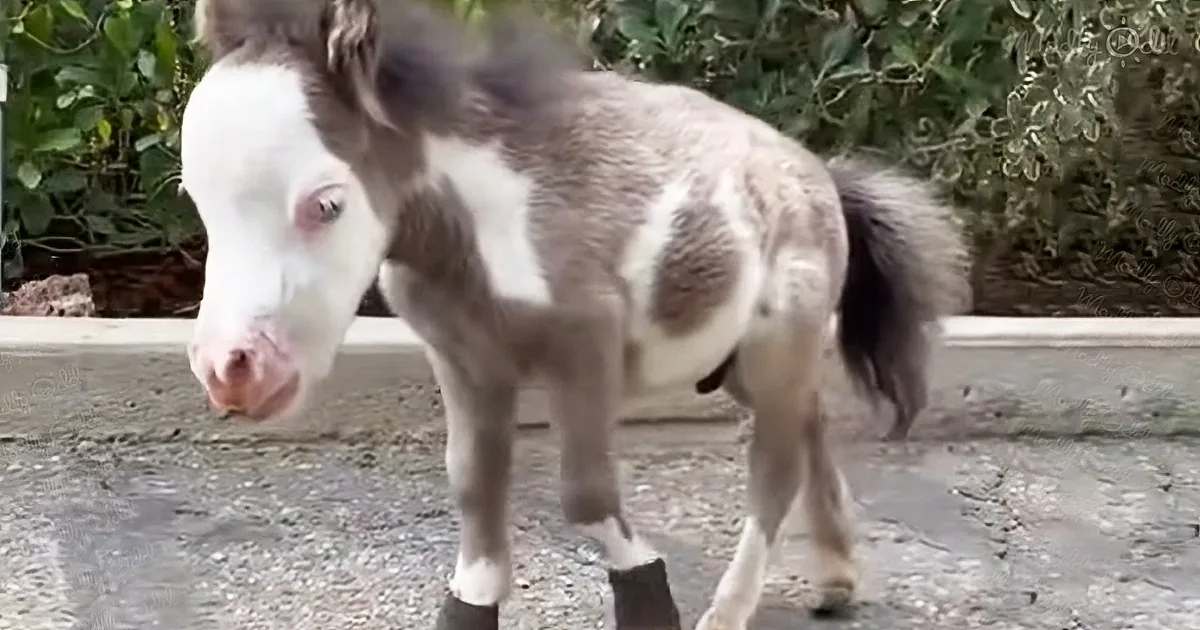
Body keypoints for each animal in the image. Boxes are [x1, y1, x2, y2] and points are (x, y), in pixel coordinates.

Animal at [179, 0, 971, 628]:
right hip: (744, 358)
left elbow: (586, 496)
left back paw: (728, 613)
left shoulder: (586, 347)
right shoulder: (464, 358)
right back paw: (837, 580)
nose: (232, 370)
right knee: (808, 426)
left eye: (326, 204)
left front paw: (652, 600)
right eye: (196, 198)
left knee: (775, 467)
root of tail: (824, 177)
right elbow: (472, 484)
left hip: (781, 338)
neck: (485, 221)